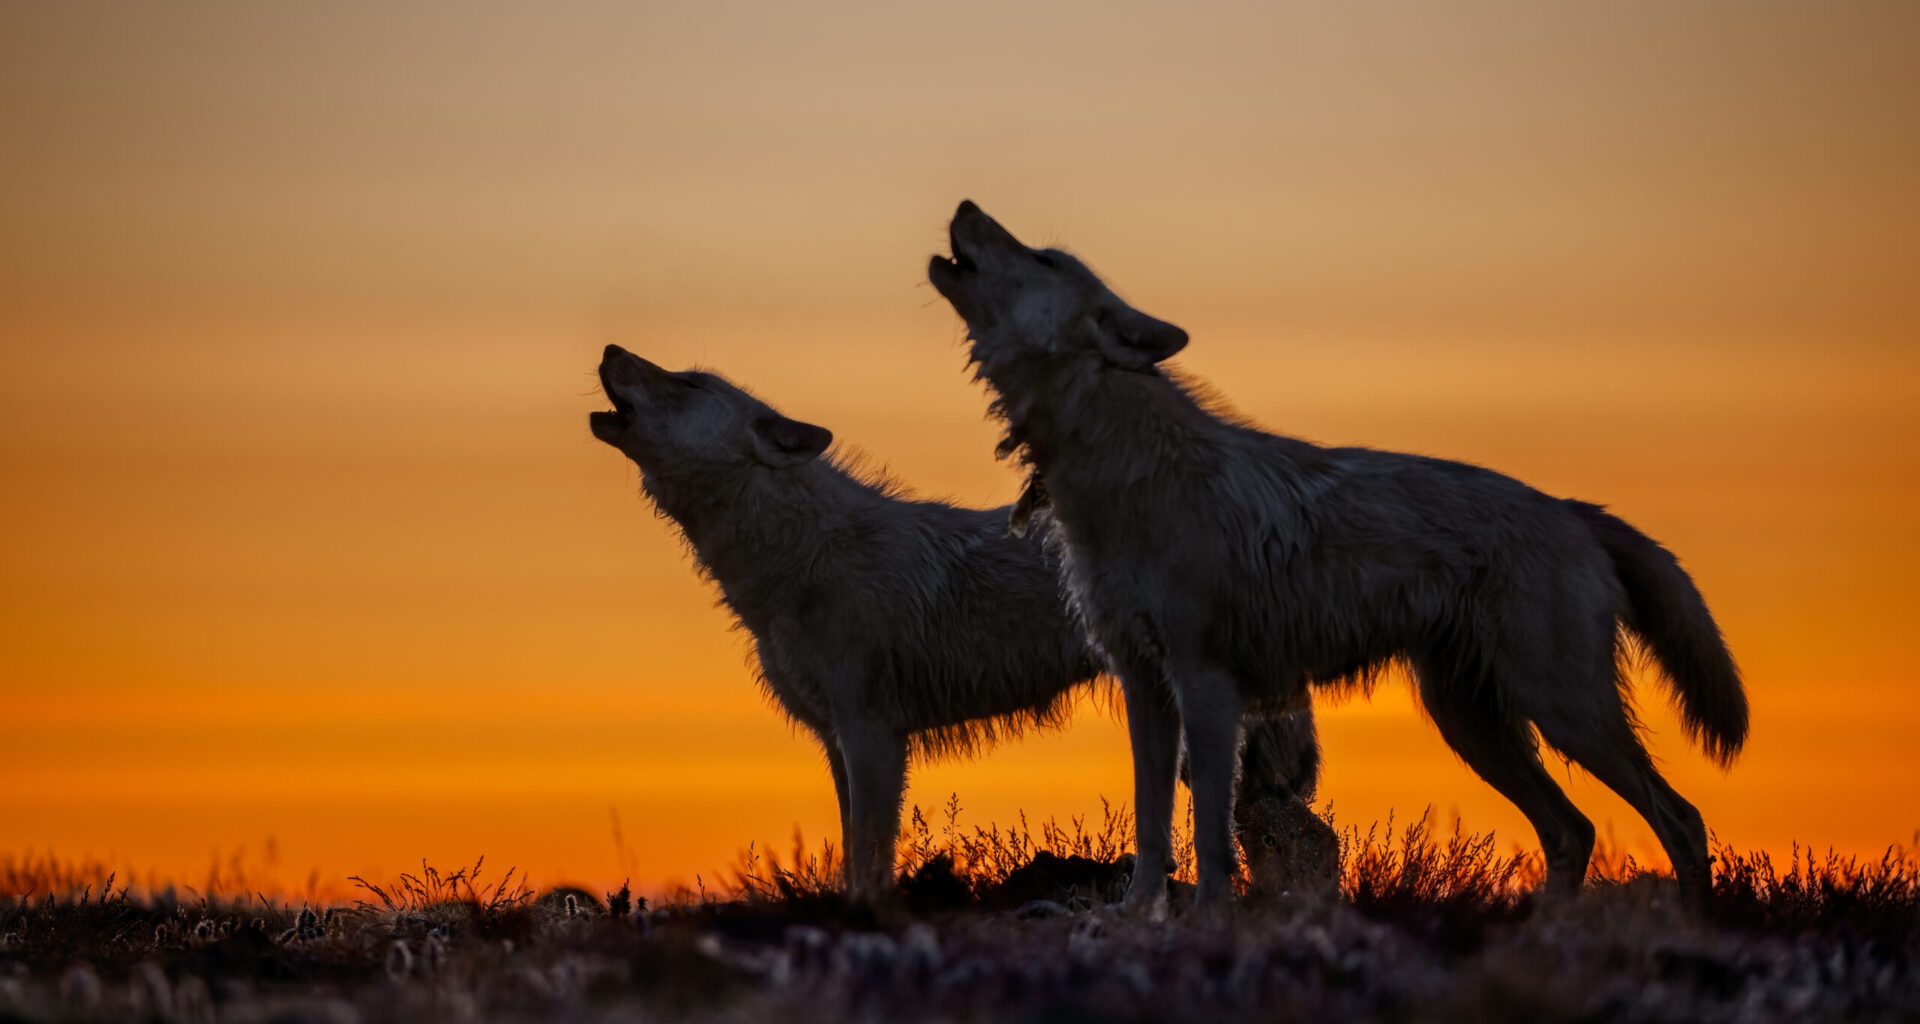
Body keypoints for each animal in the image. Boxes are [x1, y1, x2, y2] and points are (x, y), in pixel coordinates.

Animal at [588, 345, 1335, 902]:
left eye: (687, 383)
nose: (610, 350)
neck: (799, 563)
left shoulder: (873, 734)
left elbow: (870, 859)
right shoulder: (836, 740)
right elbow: (853, 848)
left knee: (1304, 840)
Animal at [928, 201, 1747, 916]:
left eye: (1045, 258)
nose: (965, 204)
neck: (1121, 468)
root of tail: (1575, 510)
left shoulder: (1206, 683)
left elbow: (1210, 838)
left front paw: (1210, 922)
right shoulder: (1145, 687)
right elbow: (1153, 831)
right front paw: (1133, 921)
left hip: (1563, 711)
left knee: (1680, 818)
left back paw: (1687, 930)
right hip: (1475, 724)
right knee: (1573, 830)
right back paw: (1549, 935)